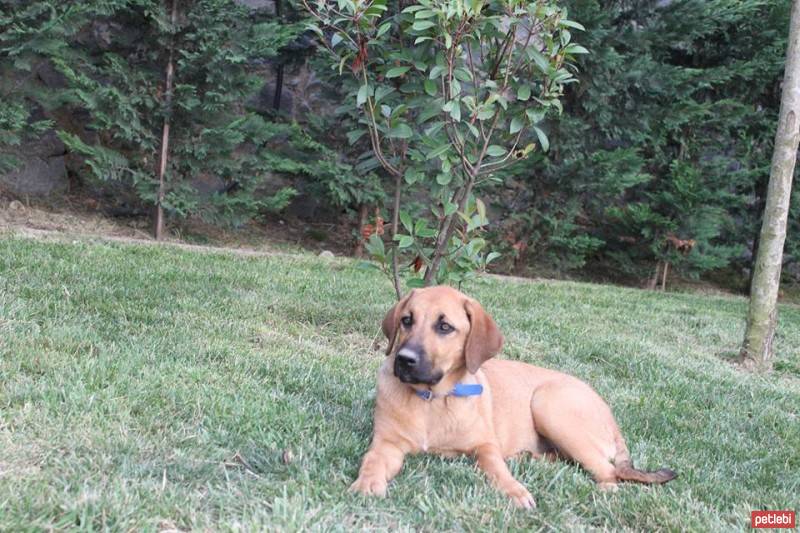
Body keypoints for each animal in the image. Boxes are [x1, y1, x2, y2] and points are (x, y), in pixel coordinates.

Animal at [350, 286, 676, 508]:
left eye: (444, 327)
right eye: (407, 320)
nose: (404, 360)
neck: (433, 399)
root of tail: (611, 419)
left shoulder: (485, 445)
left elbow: (495, 467)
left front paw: (513, 490)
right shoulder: (387, 444)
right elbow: (372, 460)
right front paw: (366, 483)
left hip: (549, 404)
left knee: (609, 472)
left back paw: (603, 491)